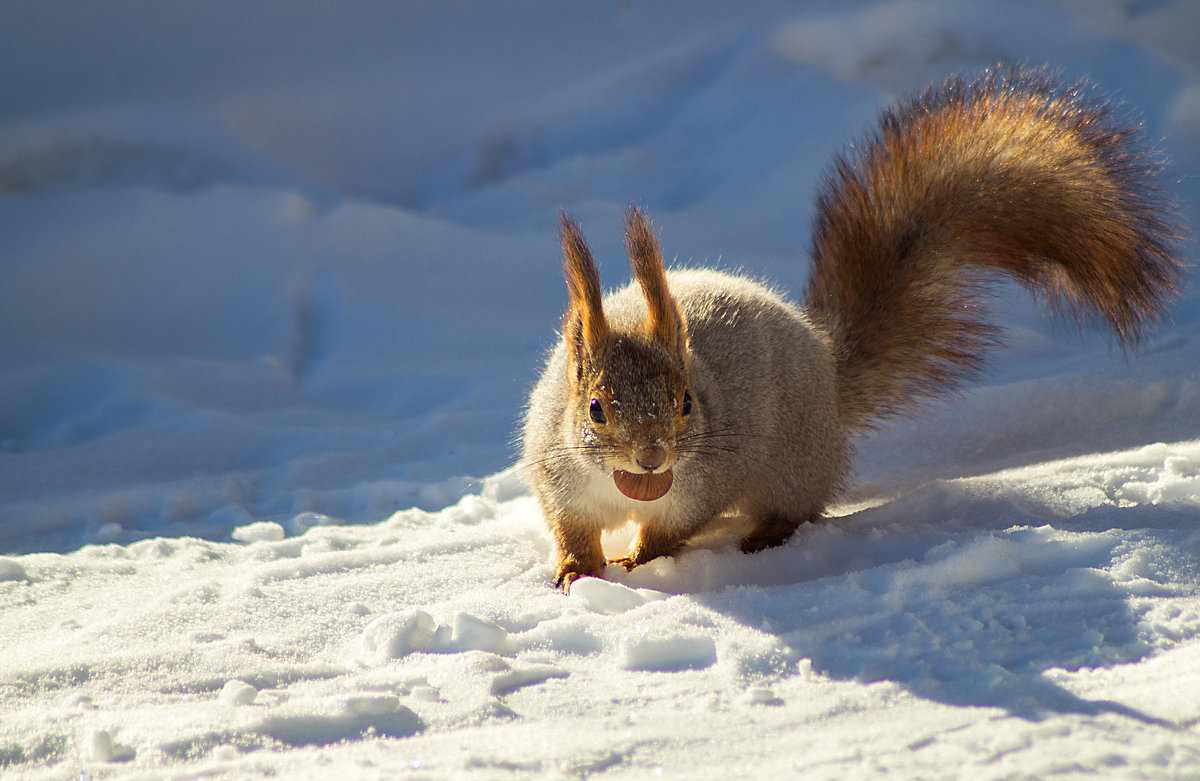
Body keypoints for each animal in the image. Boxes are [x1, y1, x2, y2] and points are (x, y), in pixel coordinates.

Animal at [520, 68, 1185, 592]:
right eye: (596, 408)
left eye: (686, 402)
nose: (653, 455)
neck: (625, 487)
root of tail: (825, 361)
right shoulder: (558, 477)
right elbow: (570, 528)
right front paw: (576, 568)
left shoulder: (705, 481)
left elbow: (673, 527)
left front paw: (640, 558)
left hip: (793, 461)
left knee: (799, 506)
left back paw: (767, 534)